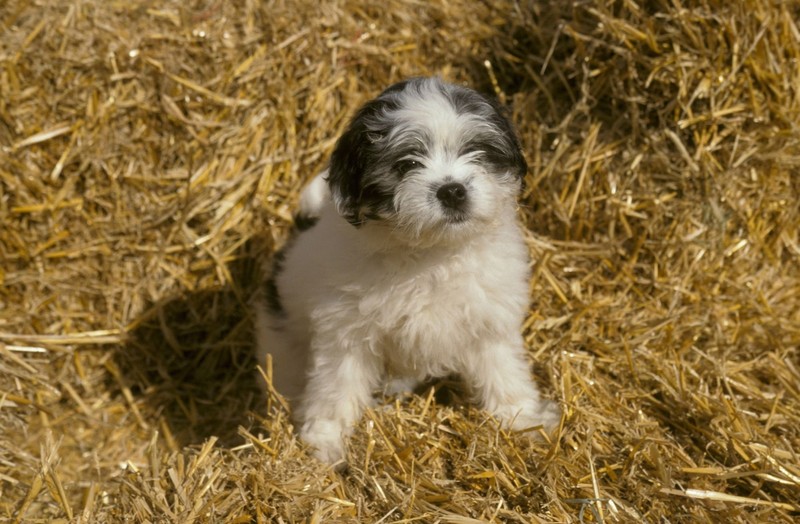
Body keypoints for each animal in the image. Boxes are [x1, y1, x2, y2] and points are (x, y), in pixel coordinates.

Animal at [253, 77, 560, 462]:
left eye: (476, 151)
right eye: (406, 163)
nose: (452, 190)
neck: (431, 254)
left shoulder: (488, 320)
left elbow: (503, 369)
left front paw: (524, 418)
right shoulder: (345, 334)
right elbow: (335, 387)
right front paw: (325, 442)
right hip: (281, 338)